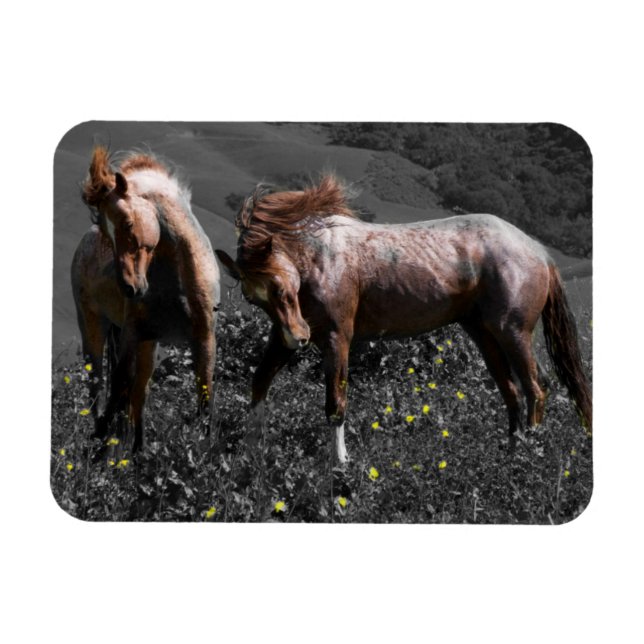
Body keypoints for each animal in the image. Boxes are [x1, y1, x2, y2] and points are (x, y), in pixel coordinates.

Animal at [72, 146, 220, 453]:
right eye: (105, 232)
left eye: (128, 223)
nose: (130, 288)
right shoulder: (131, 334)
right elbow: (118, 386)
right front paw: (100, 447)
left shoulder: (204, 339)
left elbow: (204, 396)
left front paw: (205, 451)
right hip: (94, 328)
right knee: (97, 387)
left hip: (149, 345)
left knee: (139, 392)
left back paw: (138, 451)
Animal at [215, 175, 592, 464]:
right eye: (253, 298)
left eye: (280, 286)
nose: (299, 338)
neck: (321, 257)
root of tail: (537, 250)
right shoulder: (284, 338)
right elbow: (259, 383)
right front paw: (248, 453)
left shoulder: (337, 338)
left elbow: (335, 403)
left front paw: (340, 463)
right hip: (485, 335)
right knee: (512, 391)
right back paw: (512, 453)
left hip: (513, 332)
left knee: (536, 388)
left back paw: (529, 454)